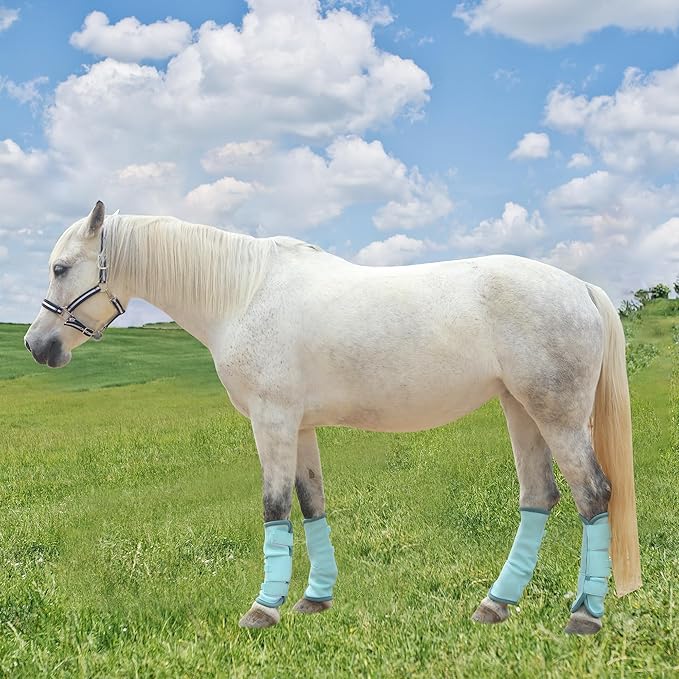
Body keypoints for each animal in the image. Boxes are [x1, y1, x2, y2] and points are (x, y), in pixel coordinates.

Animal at [24, 201, 641, 634]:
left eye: (61, 267)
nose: (36, 345)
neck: (242, 293)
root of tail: (580, 288)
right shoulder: (299, 427)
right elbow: (311, 502)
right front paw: (313, 600)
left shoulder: (272, 421)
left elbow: (274, 506)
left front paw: (263, 610)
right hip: (521, 410)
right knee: (540, 495)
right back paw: (496, 606)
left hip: (557, 416)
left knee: (592, 494)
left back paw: (584, 615)